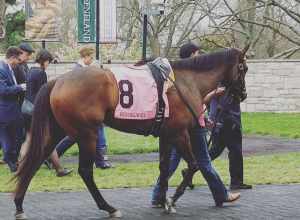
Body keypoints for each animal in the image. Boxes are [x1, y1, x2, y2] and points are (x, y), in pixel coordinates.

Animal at [13, 46, 248, 218]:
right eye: (243, 68)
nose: (243, 95)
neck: (185, 82)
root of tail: (58, 81)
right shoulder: (179, 133)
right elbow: (193, 164)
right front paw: (171, 200)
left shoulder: (165, 135)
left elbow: (164, 167)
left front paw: (162, 199)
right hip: (87, 133)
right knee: (85, 171)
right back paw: (109, 207)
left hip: (57, 130)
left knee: (36, 159)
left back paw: (18, 205)